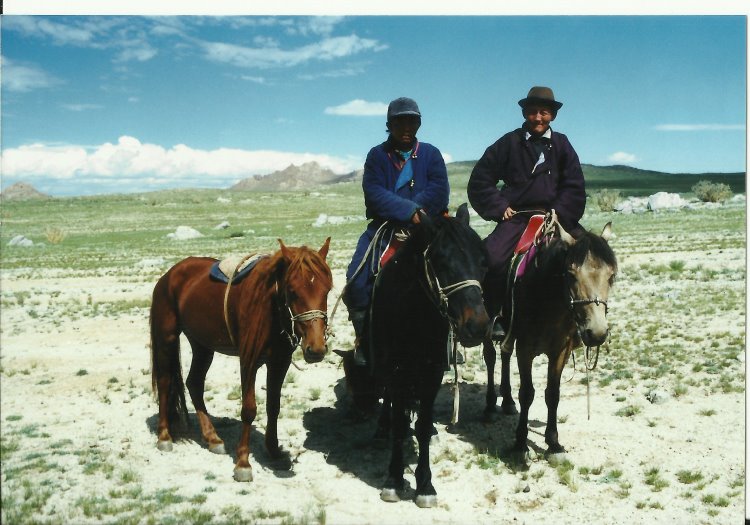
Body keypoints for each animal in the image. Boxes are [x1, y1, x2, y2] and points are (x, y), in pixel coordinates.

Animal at [150, 237, 332, 478]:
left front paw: (273, 450)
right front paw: (243, 463)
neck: (269, 309)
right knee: (164, 382)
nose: (316, 349)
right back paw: (164, 436)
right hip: (166, 338)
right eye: (292, 291)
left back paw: (213, 438)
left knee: (194, 383)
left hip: (202, 345)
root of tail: (168, 275)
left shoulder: (279, 362)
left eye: (327, 290)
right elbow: (249, 409)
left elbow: (274, 406)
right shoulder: (249, 361)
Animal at [484, 217, 620, 454]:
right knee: (491, 357)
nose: (597, 333)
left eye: (611, 275)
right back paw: (491, 405)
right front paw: (520, 442)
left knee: (504, 354)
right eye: (571, 274)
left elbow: (553, 394)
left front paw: (553, 441)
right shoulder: (525, 348)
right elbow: (527, 393)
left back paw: (507, 400)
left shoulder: (560, 351)